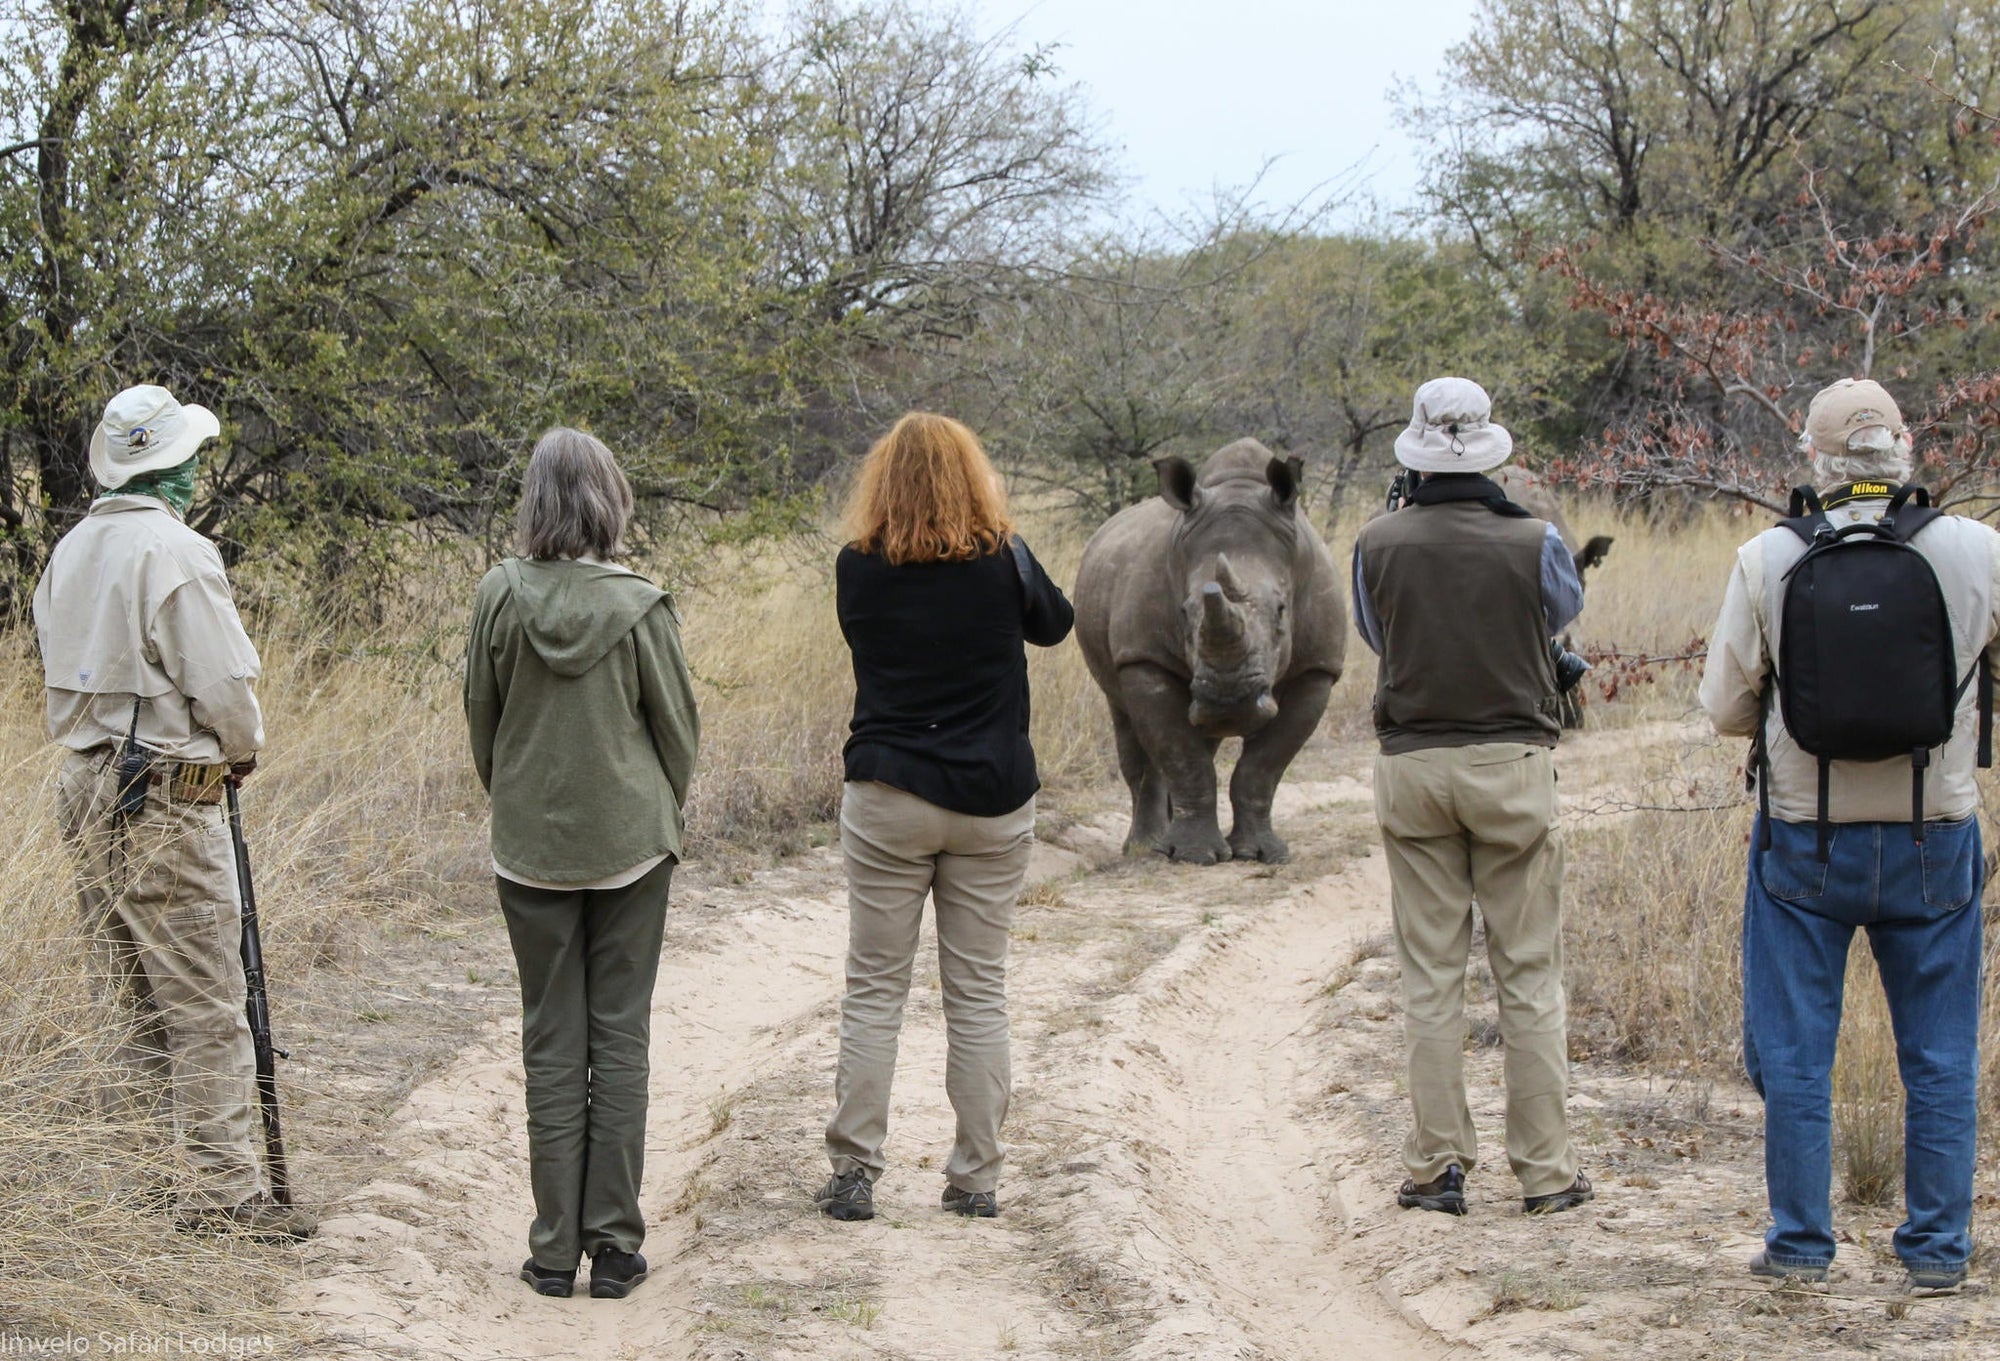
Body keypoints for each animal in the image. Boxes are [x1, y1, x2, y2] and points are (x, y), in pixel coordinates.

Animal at [1075, 439, 1347, 864]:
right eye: (1185, 612)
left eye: (1281, 610)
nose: (1228, 703)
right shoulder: (1143, 657)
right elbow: (1182, 755)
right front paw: (1194, 855)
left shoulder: (1317, 669)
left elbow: (1263, 767)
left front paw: (1260, 854)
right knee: (1129, 724)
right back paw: (1146, 848)